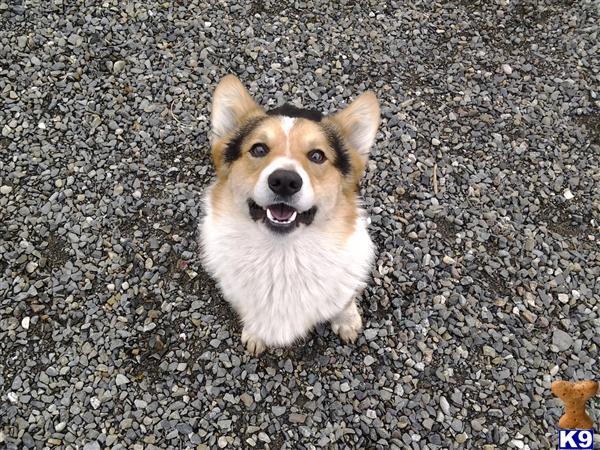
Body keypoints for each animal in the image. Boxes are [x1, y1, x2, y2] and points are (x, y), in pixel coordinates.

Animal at [202, 75, 380, 356]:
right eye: (259, 149)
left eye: (317, 155)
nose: (285, 181)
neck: (282, 255)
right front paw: (255, 334)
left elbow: (344, 303)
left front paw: (347, 322)